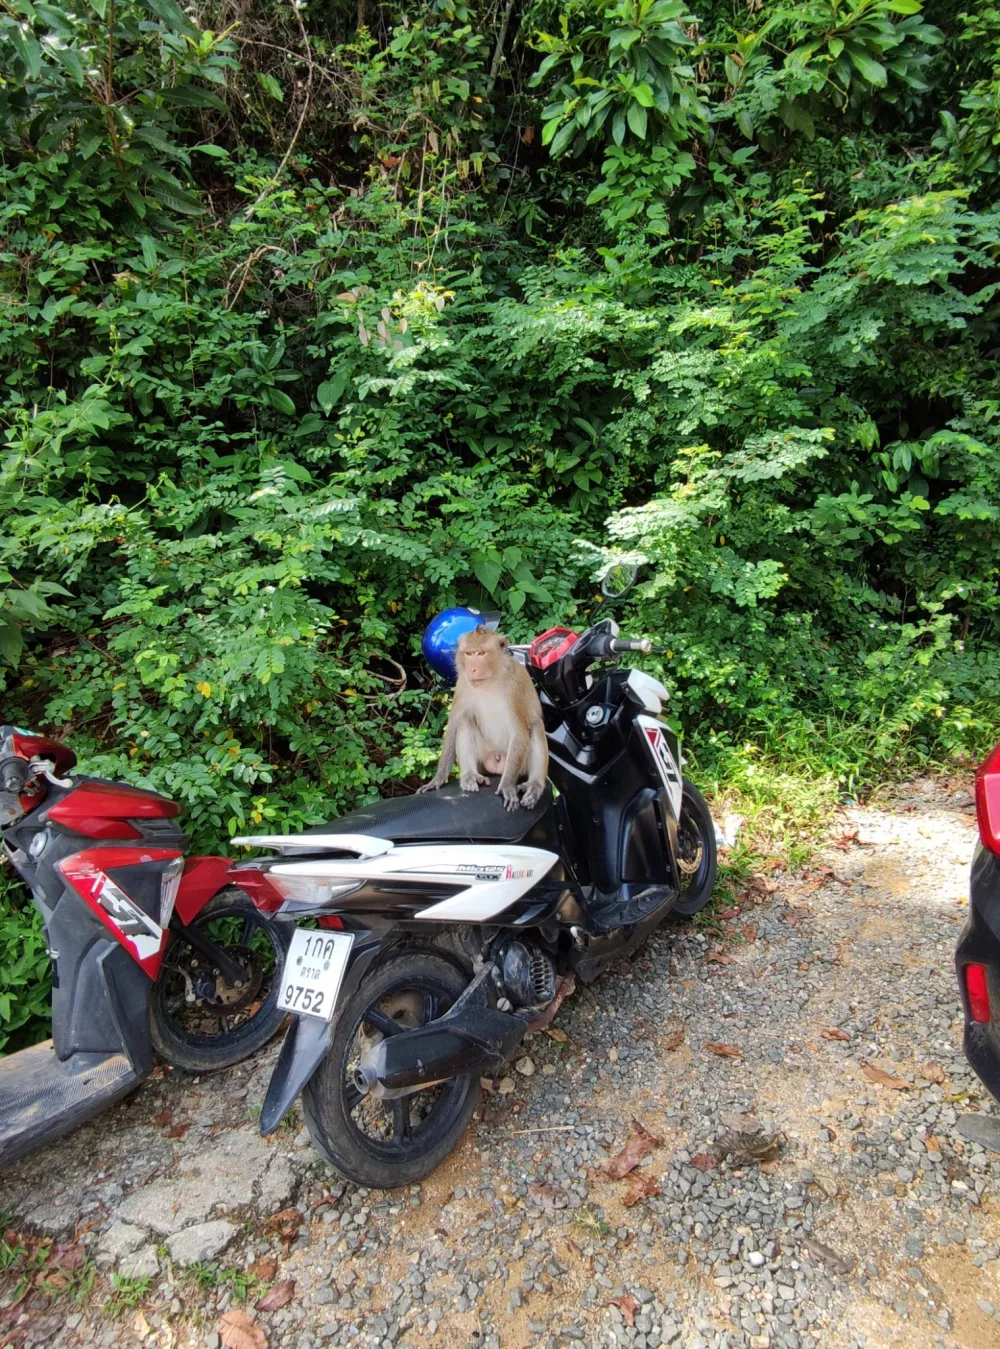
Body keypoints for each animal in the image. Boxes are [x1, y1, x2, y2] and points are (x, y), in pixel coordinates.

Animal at [418, 623, 550, 804]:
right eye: (468, 653)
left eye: (481, 653)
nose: (471, 669)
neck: (491, 679)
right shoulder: (462, 684)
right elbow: (454, 725)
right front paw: (437, 779)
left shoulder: (515, 687)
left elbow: (520, 731)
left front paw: (507, 785)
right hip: (484, 759)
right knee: (465, 719)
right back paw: (470, 775)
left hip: (519, 764)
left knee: (536, 725)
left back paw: (534, 785)